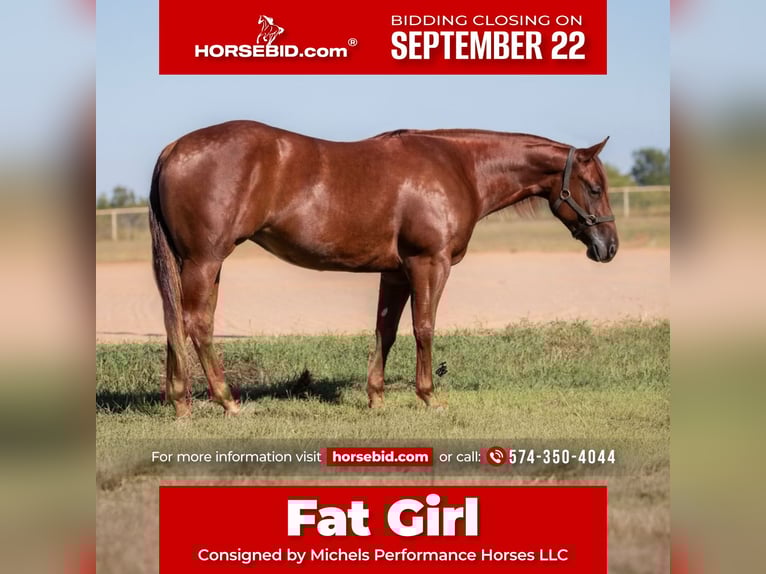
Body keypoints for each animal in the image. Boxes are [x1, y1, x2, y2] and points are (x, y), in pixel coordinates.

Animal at [149, 121, 618, 418]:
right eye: (594, 188)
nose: (609, 247)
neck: (458, 167)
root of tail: (174, 148)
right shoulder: (429, 263)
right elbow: (424, 327)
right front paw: (429, 398)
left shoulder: (394, 272)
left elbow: (385, 330)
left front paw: (376, 397)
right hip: (206, 260)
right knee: (197, 324)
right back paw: (226, 401)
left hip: (198, 264)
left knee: (178, 322)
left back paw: (181, 402)